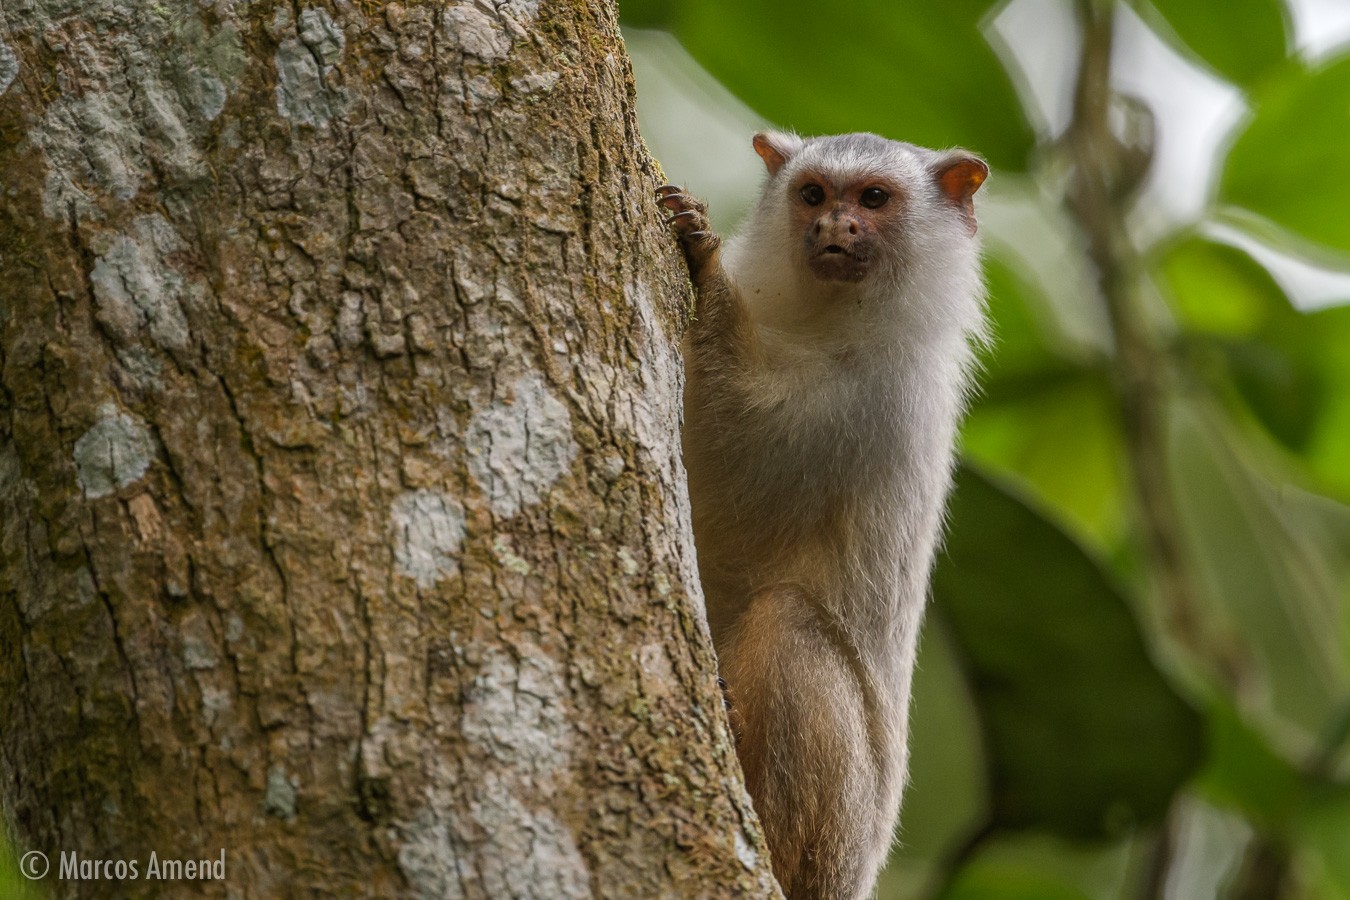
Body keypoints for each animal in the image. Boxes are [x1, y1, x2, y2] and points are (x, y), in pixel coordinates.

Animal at [658, 130, 988, 895]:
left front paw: (705, 267)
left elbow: (738, 439)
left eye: (873, 199)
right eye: (813, 194)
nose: (836, 226)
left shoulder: (877, 400)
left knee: (789, 623)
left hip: (842, 826)